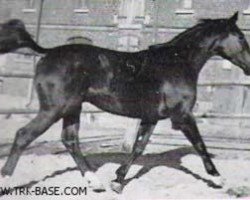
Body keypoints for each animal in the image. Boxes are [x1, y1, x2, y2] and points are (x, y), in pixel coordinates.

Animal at [0, 12, 250, 192]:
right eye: (240, 37)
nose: (249, 67)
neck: (177, 63)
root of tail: (48, 53)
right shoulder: (182, 116)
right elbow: (200, 144)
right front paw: (218, 179)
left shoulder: (151, 117)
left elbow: (139, 147)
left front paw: (117, 181)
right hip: (54, 109)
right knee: (23, 135)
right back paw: (6, 182)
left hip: (72, 108)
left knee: (70, 140)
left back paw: (96, 182)